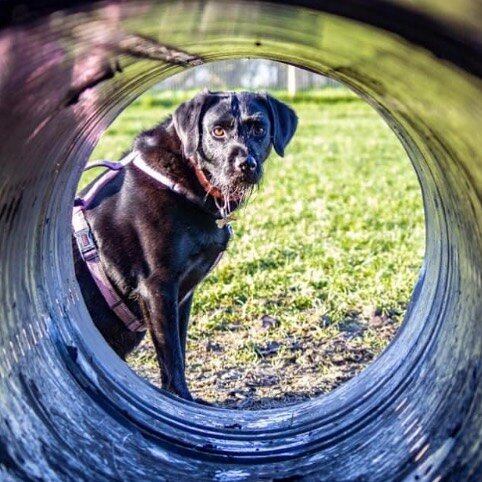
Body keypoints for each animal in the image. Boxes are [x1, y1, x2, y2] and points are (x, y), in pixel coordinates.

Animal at [73, 90, 298, 400]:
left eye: (259, 128)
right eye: (218, 131)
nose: (245, 165)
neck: (189, 178)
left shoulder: (182, 295)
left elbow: (179, 348)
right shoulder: (158, 287)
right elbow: (171, 356)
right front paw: (180, 399)